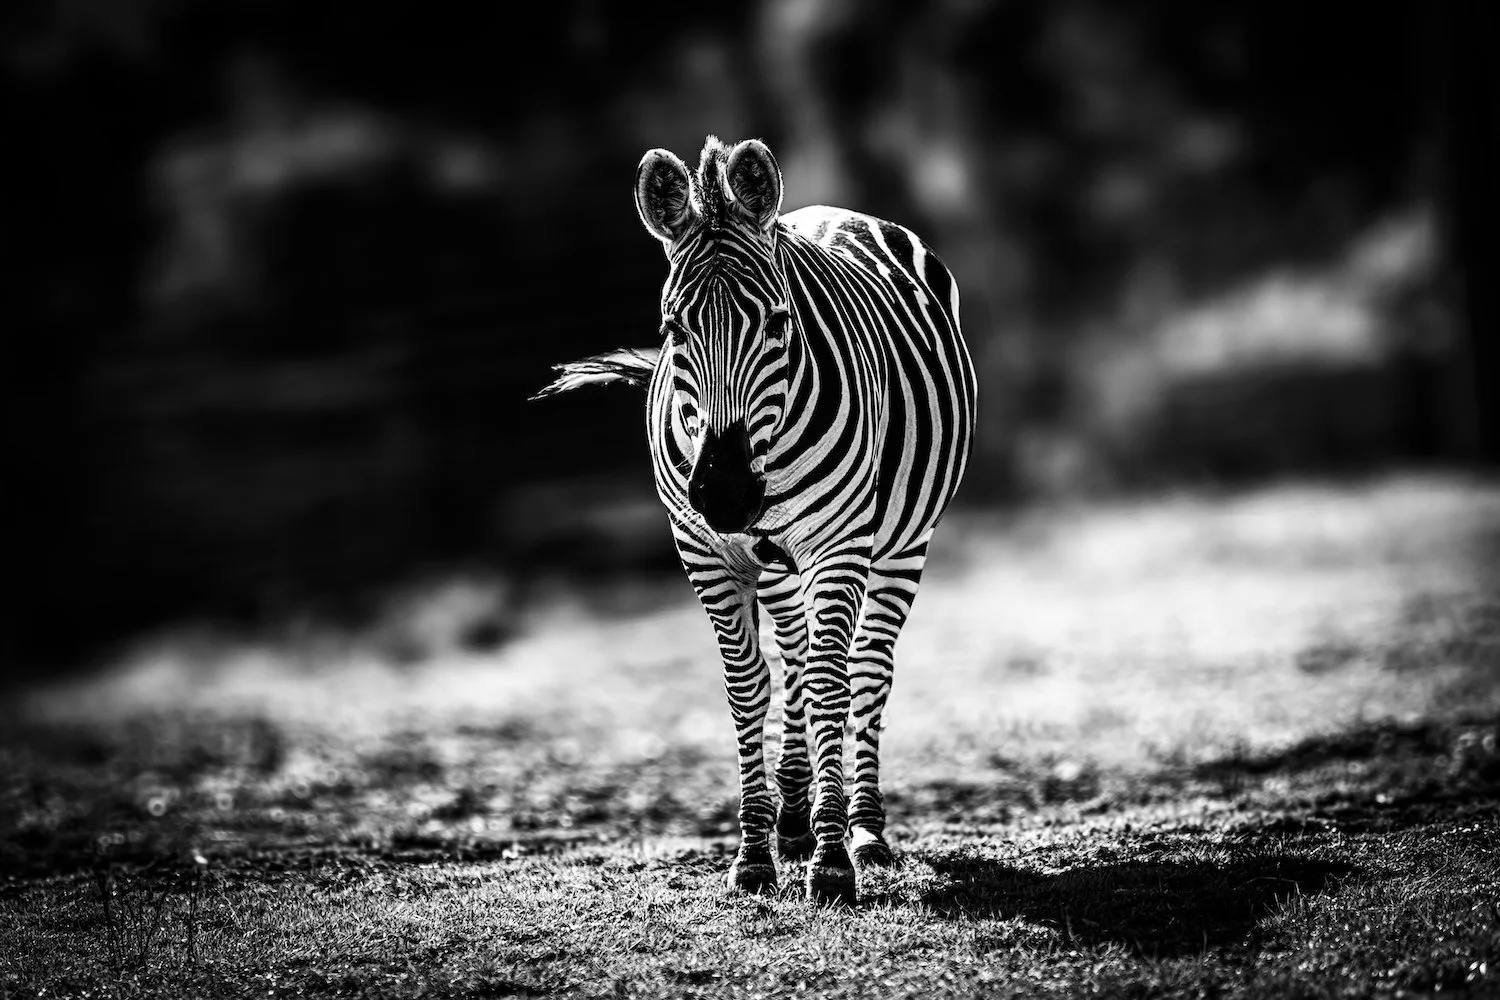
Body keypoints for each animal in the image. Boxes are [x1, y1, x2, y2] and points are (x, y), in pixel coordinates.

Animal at [535, 136, 977, 904]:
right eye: (672, 328)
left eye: (777, 322)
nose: (725, 493)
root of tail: (829, 210)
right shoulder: (707, 553)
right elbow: (749, 688)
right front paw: (755, 854)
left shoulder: (838, 546)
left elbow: (832, 683)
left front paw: (832, 863)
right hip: (774, 562)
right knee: (794, 657)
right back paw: (794, 817)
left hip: (901, 545)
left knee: (866, 669)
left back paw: (863, 831)